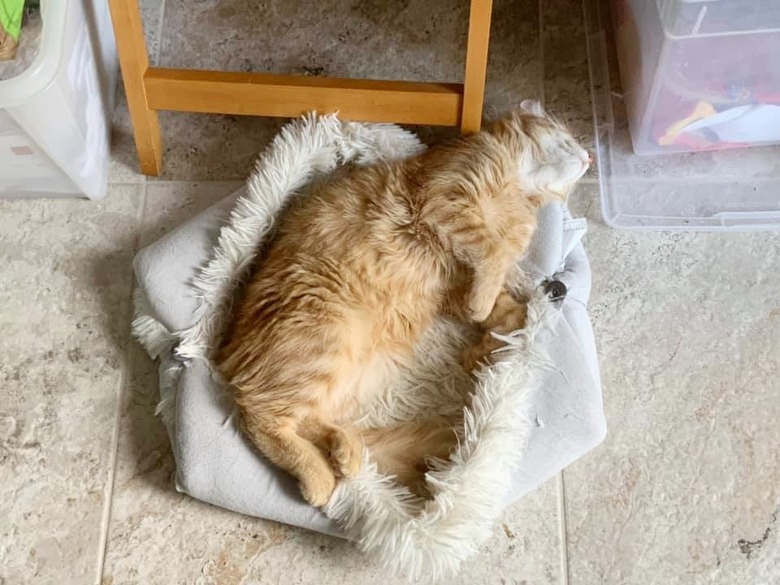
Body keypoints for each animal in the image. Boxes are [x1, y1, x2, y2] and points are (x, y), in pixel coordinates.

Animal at [216, 102, 588, 504]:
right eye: (568, 138)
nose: (590, 157)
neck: (519, 194)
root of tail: (227, 351)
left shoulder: (456, 285)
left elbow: (505, 309)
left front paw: (494, 337)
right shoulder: (449, 199)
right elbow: (492, 252)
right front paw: (491, 309)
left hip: (353, 373)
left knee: (313, 420)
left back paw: (345, 453)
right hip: (325, 342)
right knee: (260, 414)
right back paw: (318, 479)